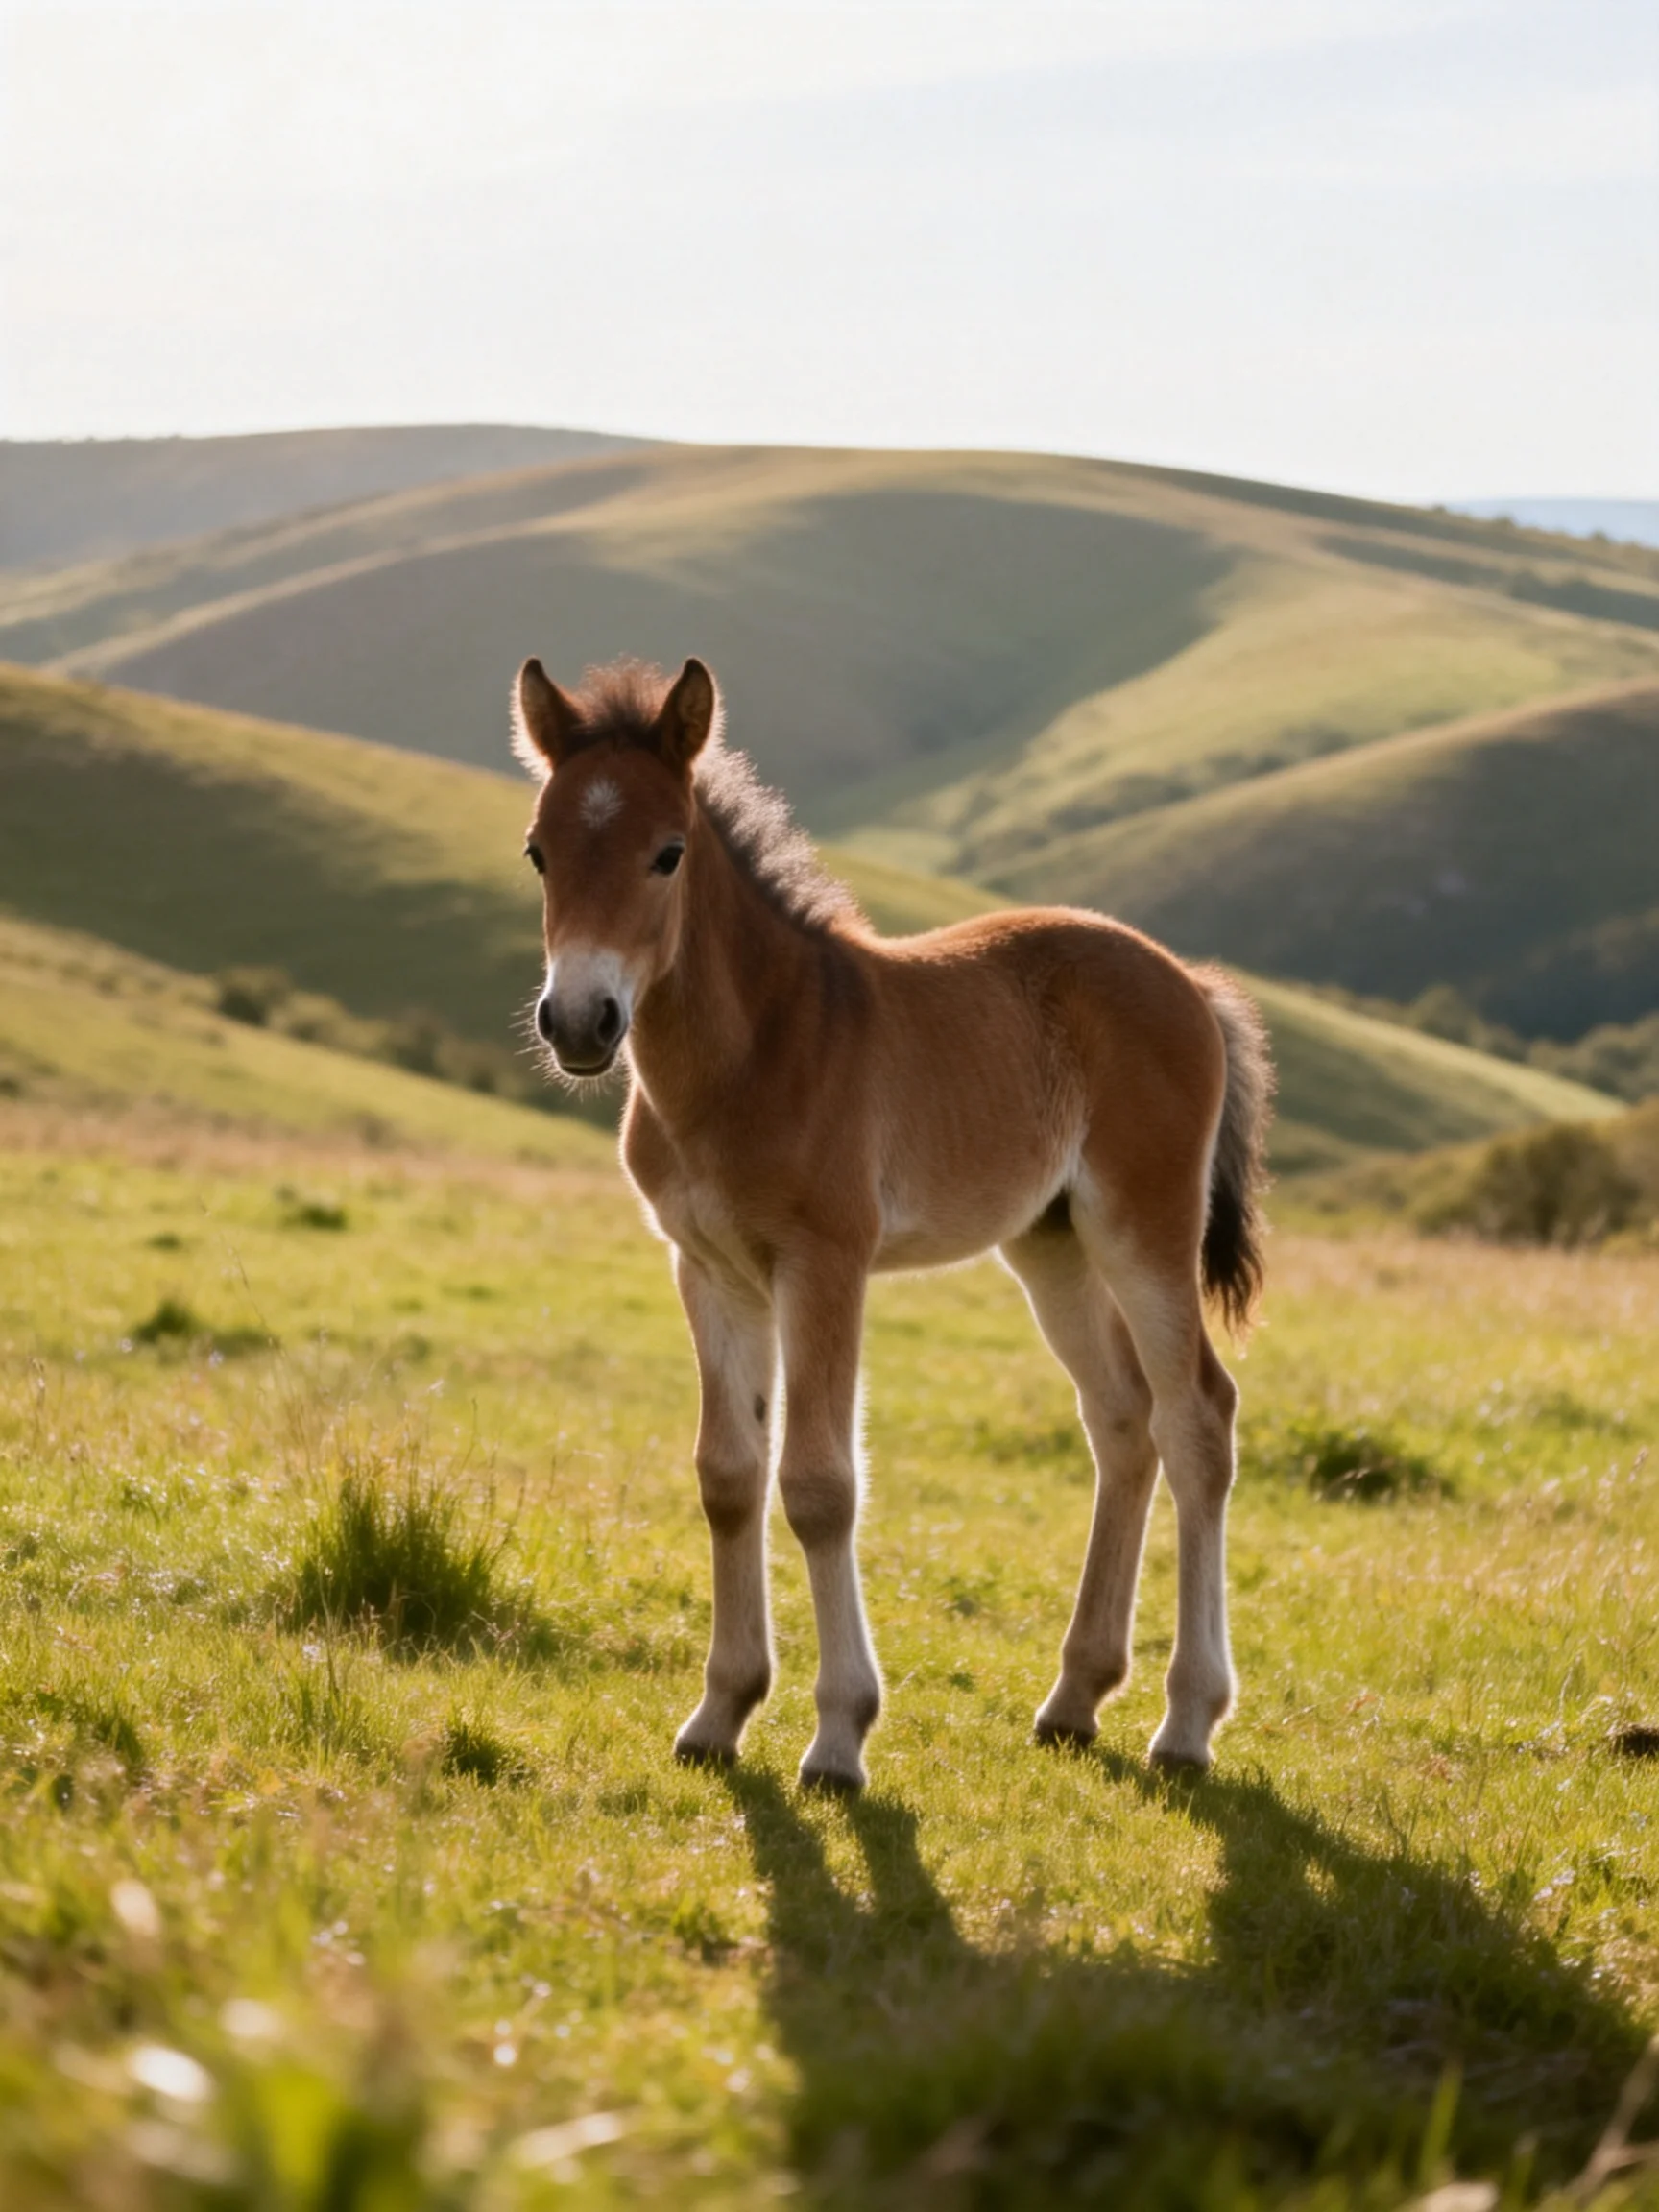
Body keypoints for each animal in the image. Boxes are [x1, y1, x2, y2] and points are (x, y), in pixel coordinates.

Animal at [514, 653, 1273, 1792]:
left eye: (667, 853)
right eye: (539, 852)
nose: (577, 1023)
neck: (754, 1050)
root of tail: (1192, 984)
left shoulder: (826, 1262)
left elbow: (821, 1484)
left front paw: (838, 1739)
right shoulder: (707, 1269)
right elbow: (729, 1475)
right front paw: (719, 1714)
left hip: (1145, 1228)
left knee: (1197, 1421)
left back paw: (1186, 1723)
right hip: (1050, 1245)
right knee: (1123, 1420)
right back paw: (1075, 1699)